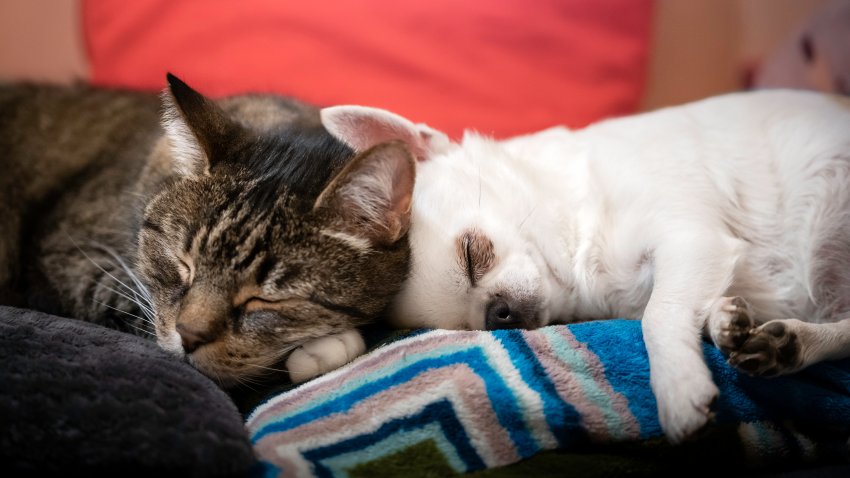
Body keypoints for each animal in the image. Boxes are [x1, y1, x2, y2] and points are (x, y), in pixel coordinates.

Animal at [316, 92, 848, 444]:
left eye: (472, 254)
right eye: (466, 328)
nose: (497, 314)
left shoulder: (693, 239)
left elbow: (658, 317)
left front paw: (678, 389)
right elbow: (670, 310)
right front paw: (721, 325)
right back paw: (779, 341)